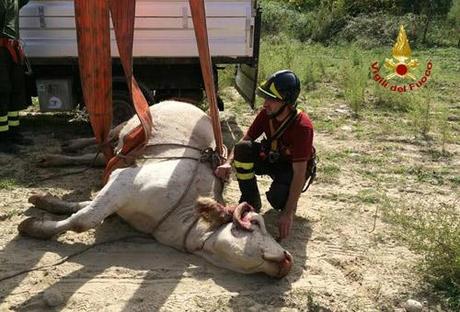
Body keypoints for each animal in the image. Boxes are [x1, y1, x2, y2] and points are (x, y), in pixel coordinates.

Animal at [18, 101, 292, 276]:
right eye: (255, 223)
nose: (288, 259)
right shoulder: (124, 181)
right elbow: (83, 220)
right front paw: (33, 227)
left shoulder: (117, 193)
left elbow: (81, 206)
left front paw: (43, 200)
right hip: (128, 124)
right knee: (104, 138)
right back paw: (71, 144)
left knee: (99, 157)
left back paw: (55, 158)